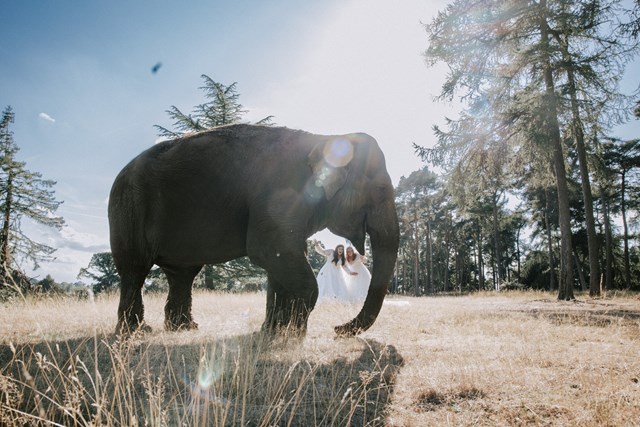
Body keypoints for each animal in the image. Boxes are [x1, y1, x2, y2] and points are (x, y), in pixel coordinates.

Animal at [110, 123, 400, 338]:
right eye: (381, 190)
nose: (338, 329)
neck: (326, 138)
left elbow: (279, 258)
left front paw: (273, 331)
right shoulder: (280, 194)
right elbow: (268, 250)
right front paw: (293, 334)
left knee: (182, 274)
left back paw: (183, 329)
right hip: (129, 209)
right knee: (135, 268)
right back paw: (137, 332)